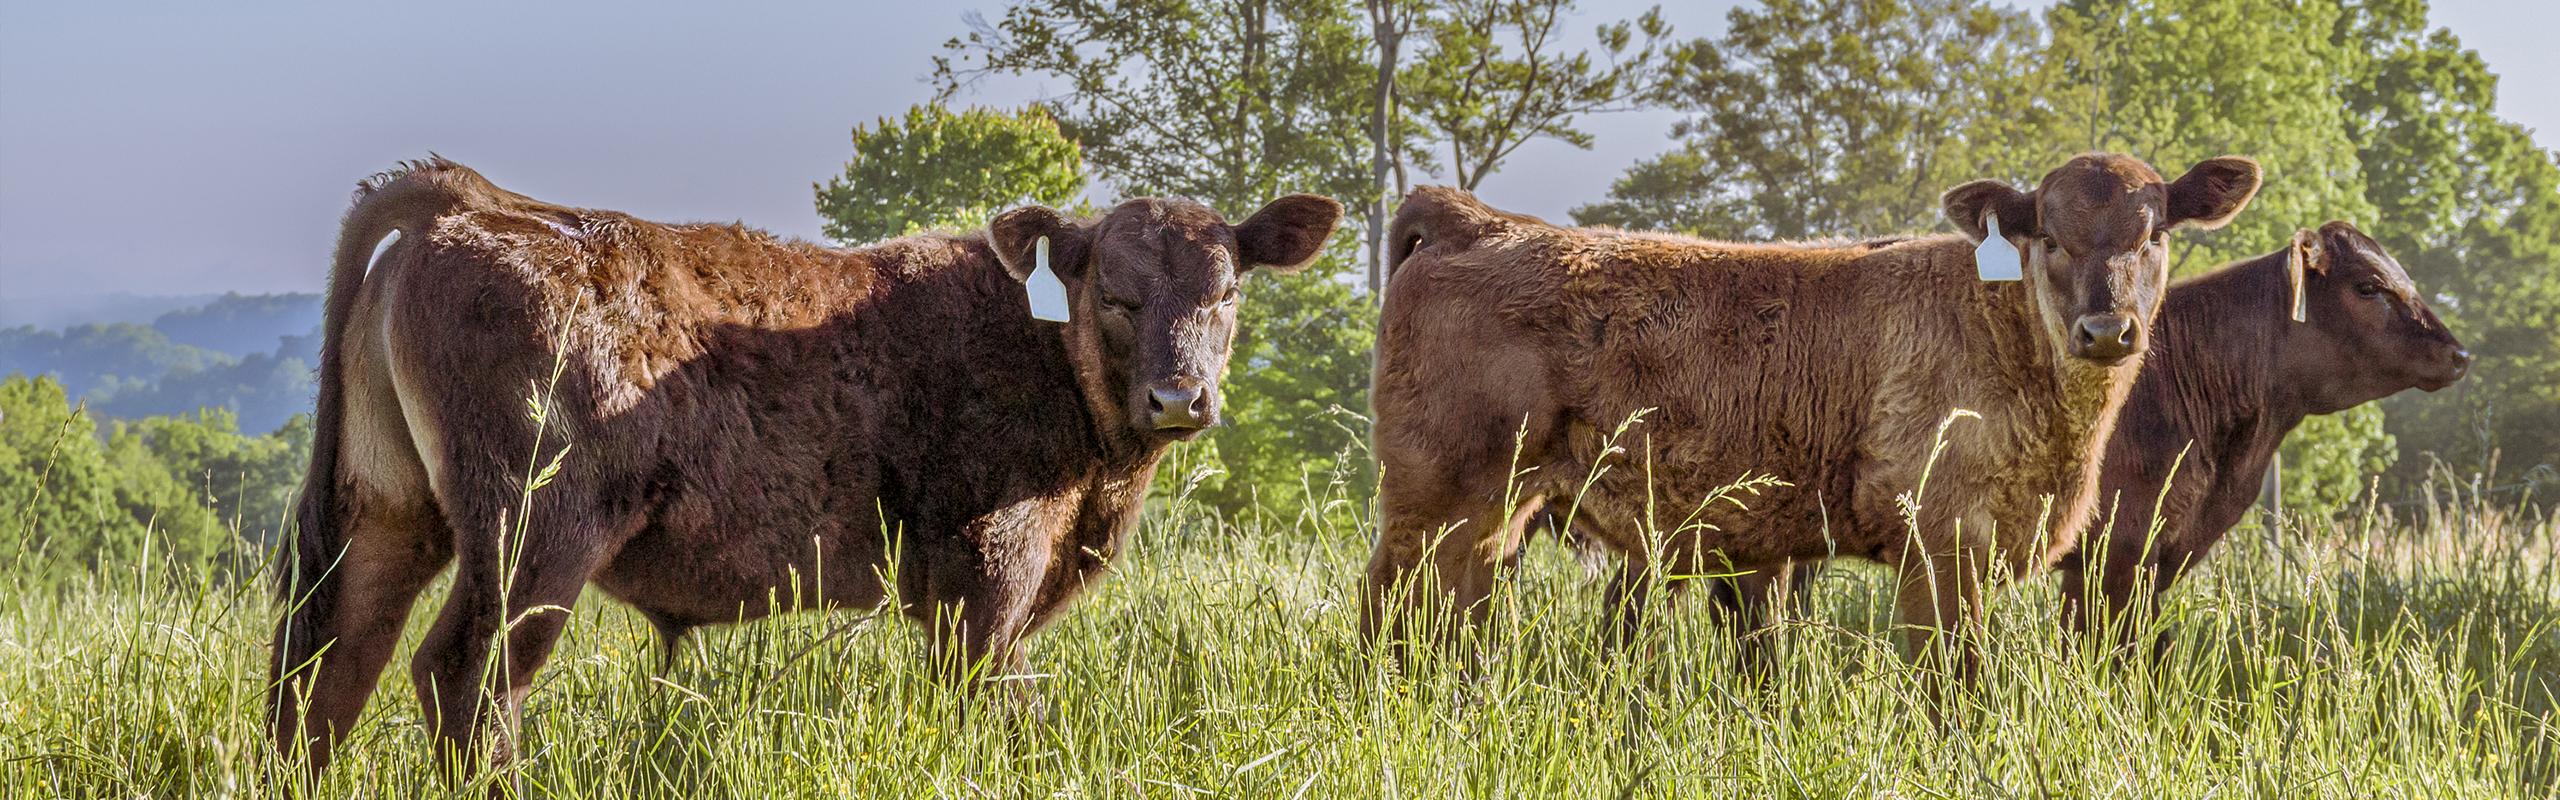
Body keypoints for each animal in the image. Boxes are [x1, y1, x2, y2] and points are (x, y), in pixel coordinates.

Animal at [267, 158, 1341, 774]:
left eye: (1229, 290)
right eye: (1114, 294)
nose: (1180, 398)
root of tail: (475, 206)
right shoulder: (982, 586)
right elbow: (1004, 716)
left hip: (391, 518)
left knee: (328, 671)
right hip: (534, 538)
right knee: (465, 678)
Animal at [1363, 153, 2263, 679]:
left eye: (2154, 233)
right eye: (2049, 236)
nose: (2106, 330)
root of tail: (1478, 223)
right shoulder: (1941, 552)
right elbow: (1952, 689)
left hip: (1497, 517)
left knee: (1454, 616)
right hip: (1436, 503)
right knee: (1389, 607)